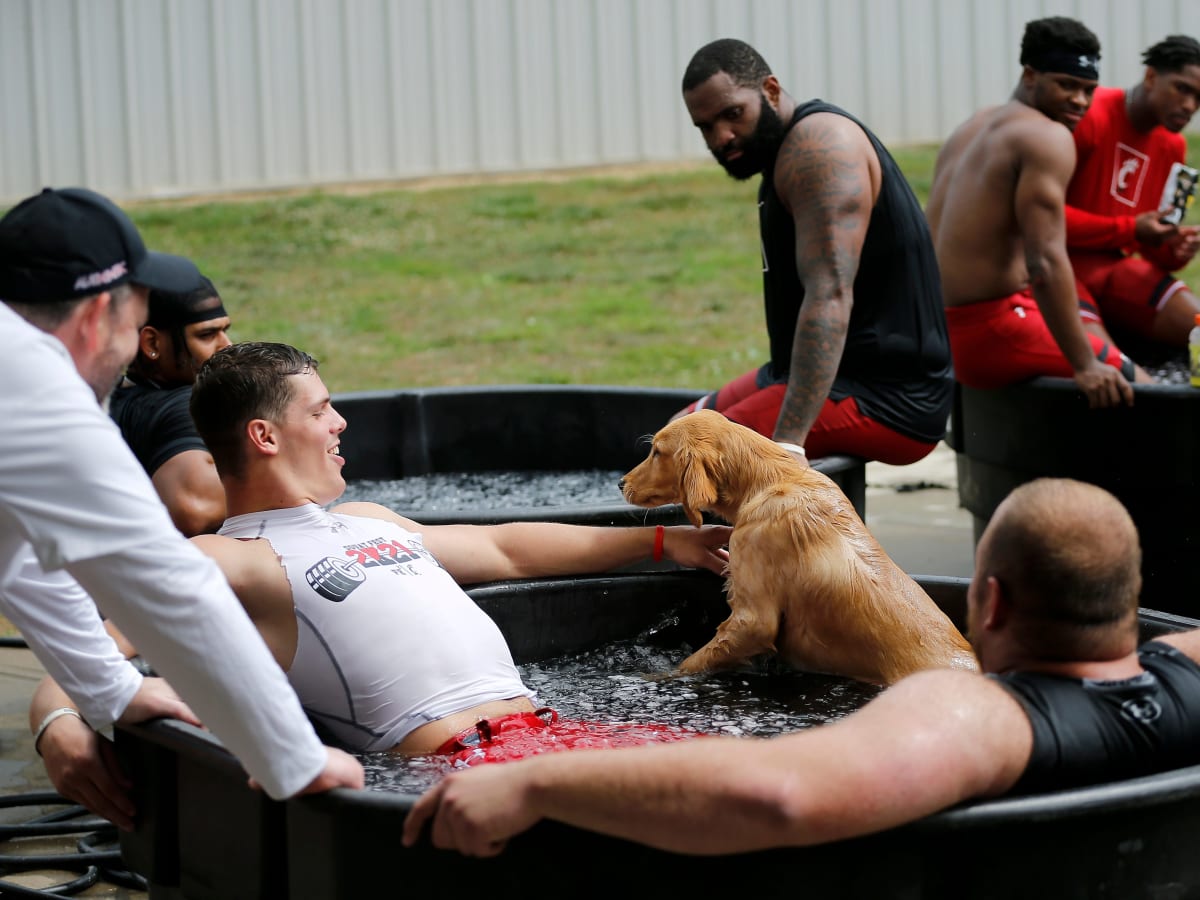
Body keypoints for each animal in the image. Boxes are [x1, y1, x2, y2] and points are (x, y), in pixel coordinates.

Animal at [624, 412, 979, 686]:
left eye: (656, 452)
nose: (620, 483)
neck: (770, 480)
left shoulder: (753, 618)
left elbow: (696, 660)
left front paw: (657, 677)